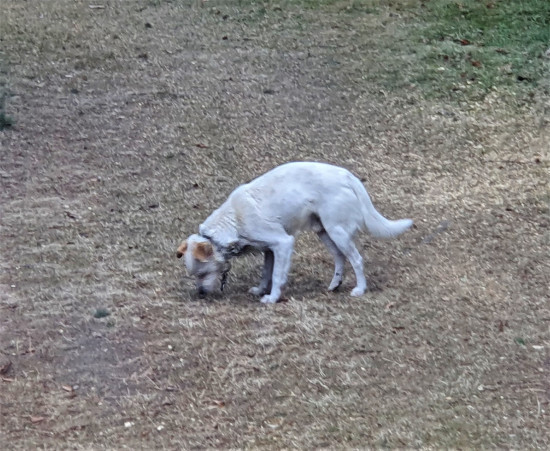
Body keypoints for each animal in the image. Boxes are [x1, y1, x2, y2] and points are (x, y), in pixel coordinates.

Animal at [177, 162, 414, 304]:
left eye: (203, 273)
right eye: (195, 276)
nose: (200, 293)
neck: (233, 220)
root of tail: (347, 175)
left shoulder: (283, 243)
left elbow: (276, 275)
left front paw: (272, 297)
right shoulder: (269, 250)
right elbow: (266, 273)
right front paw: (261, 290)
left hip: (337, 232)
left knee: (356, 260)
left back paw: (360, 289)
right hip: (324, 232)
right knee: (340, 257)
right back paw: (335, 284)